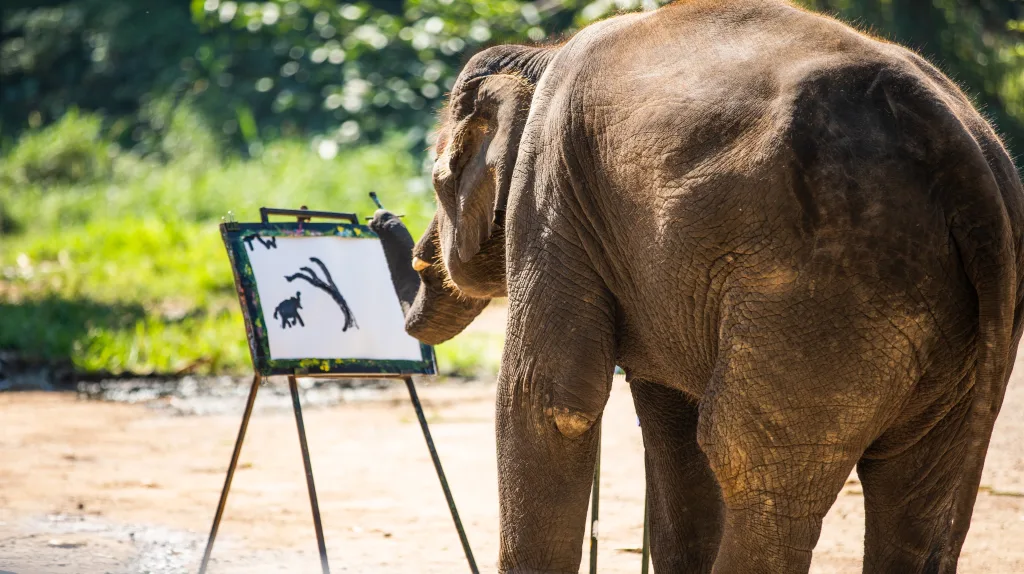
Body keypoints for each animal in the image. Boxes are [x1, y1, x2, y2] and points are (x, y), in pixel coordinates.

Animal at [370, 0, 1024, 572]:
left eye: (438, 179)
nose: (379, 219)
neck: (543, 52)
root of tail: (964, 159)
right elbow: (671, 426)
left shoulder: (553, 195)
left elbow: (546, 402)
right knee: (919, 491)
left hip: (828, 292)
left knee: (752, 468)